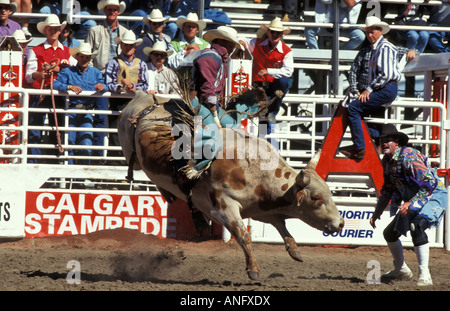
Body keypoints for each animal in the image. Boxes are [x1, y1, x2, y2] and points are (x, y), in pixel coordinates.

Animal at [118, 89, 344, 280]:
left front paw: (294, 249)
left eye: (329, 193)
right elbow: (244, 235)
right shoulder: (224, 208)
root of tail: (142, 97)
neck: (253, 168)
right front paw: (253, 270)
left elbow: (280, 224)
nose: (341, 223)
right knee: (134, 165)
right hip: (132, 153)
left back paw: (170, 195)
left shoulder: (261, 209)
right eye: (316, 197)